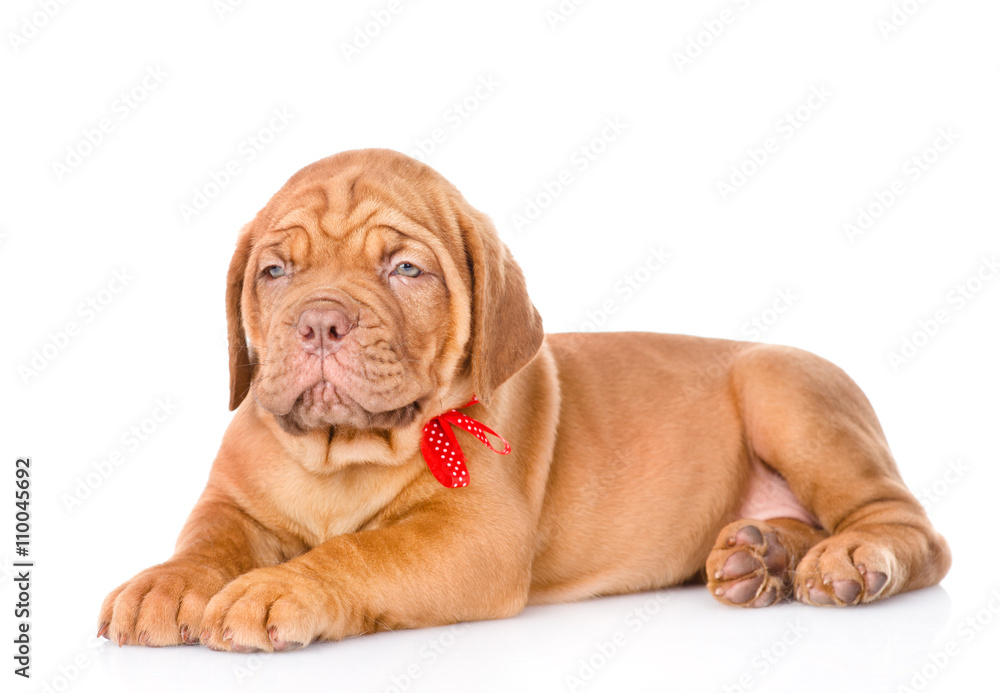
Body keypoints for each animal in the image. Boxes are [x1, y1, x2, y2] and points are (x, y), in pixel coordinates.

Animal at [97, 149, 948, 652]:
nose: (319, 321)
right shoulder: (231, 501)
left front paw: (279, 586)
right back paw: (762, 554)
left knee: (912, 530)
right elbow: (207, 537)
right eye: (275, 272)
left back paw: (848, 558)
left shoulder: (471, 535)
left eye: (406, 268)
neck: (341, 454)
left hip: (787, 393)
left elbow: (360, 551)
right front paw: (165, 581)